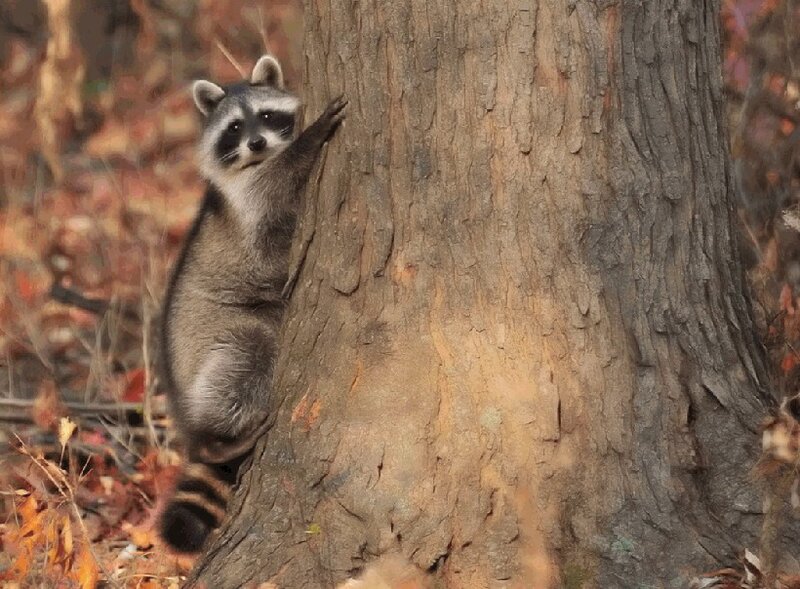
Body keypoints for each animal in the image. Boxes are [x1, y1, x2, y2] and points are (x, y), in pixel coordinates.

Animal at [158, 54, 346, 553]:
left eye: (265, 115)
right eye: (235, 127)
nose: (258, 142)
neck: (258, 158)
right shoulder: (247, 197)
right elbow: (278, 182)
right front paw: (308, 140)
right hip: (221, 331)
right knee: (247, 359)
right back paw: (217, 440)